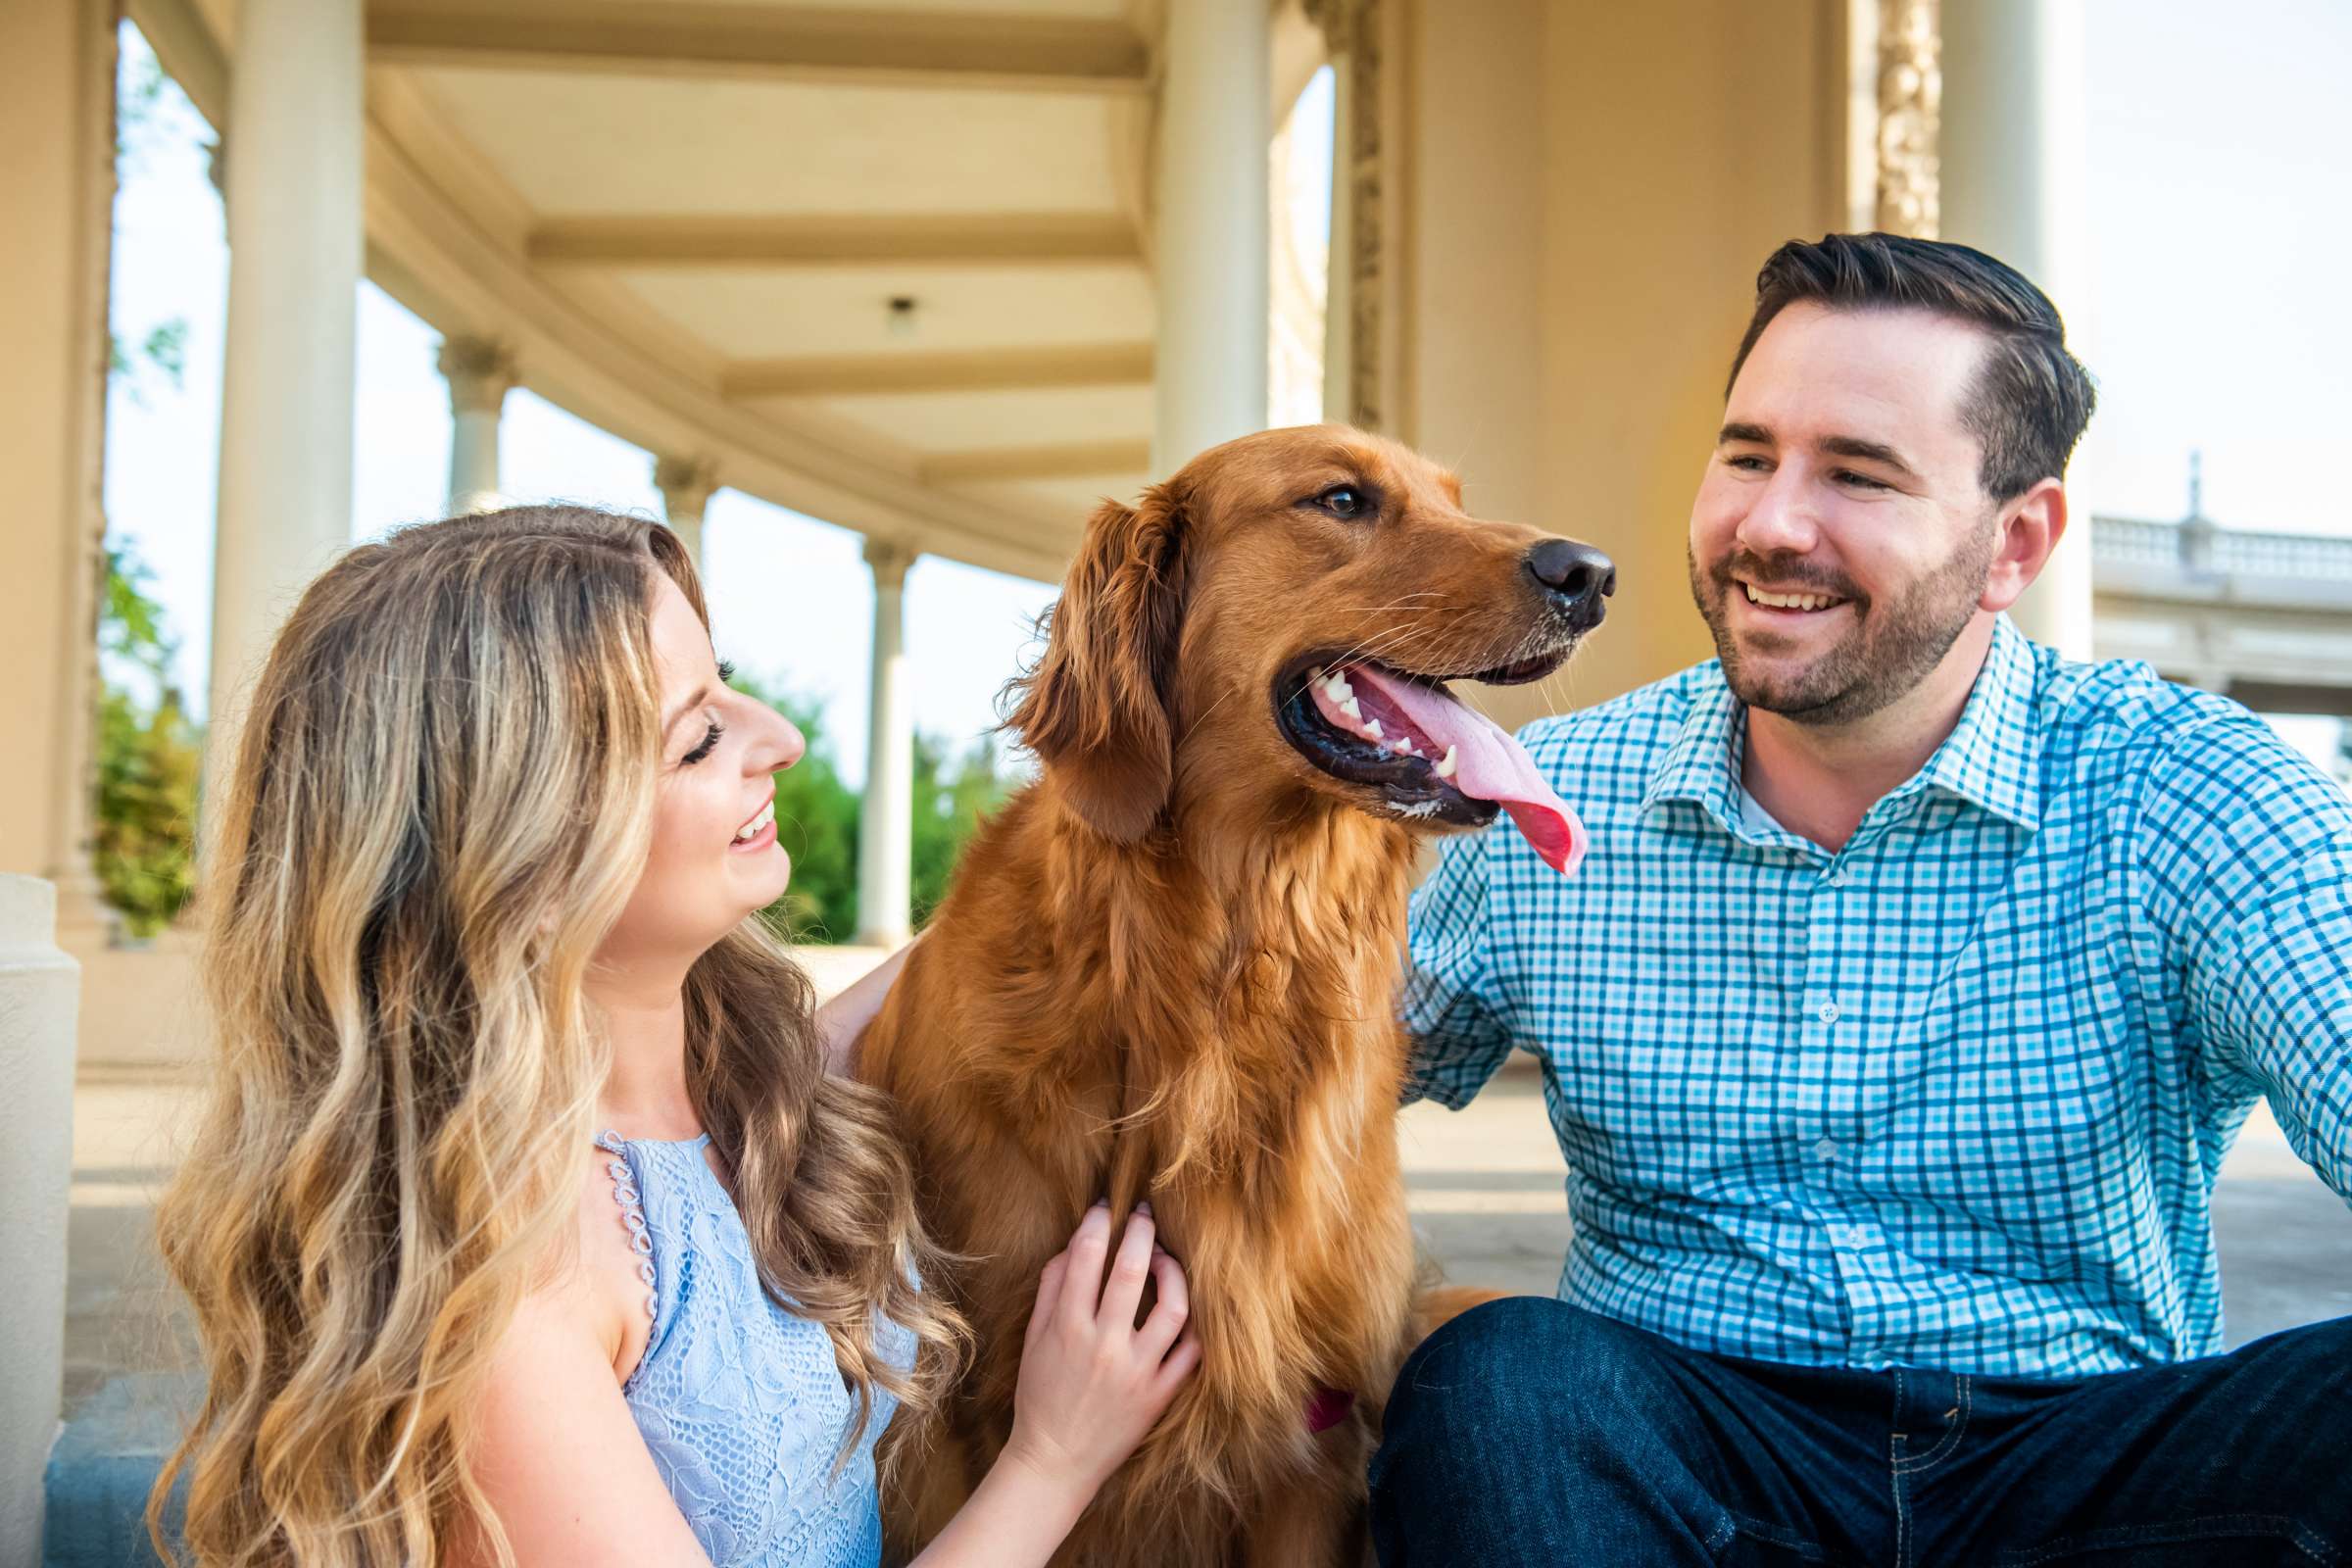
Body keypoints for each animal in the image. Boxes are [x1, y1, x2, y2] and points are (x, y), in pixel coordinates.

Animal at [865, 422, 1618, 1560]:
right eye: (1343, 499)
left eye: (1455, 498)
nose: (1593, 574)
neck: (1229, 969)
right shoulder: (956, 1432)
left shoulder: (1310, 1436)